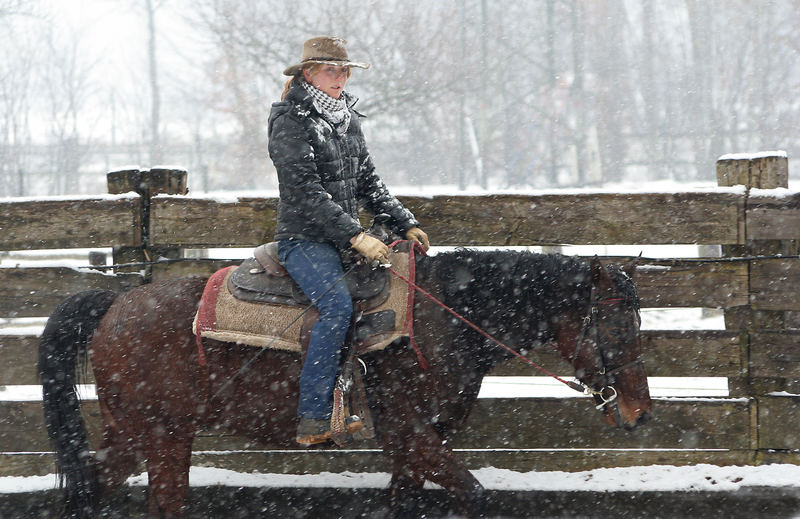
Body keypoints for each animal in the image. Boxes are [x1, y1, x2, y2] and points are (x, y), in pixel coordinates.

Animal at [39, 250, 648, 516]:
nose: (639, 413)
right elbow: (473, 494)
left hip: (135, 434)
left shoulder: (416, 442)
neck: (445, 318)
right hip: (163, 435)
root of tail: (115, 304)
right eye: (617, 325)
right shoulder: (408, 429)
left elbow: (404, 499)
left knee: (92, 484)